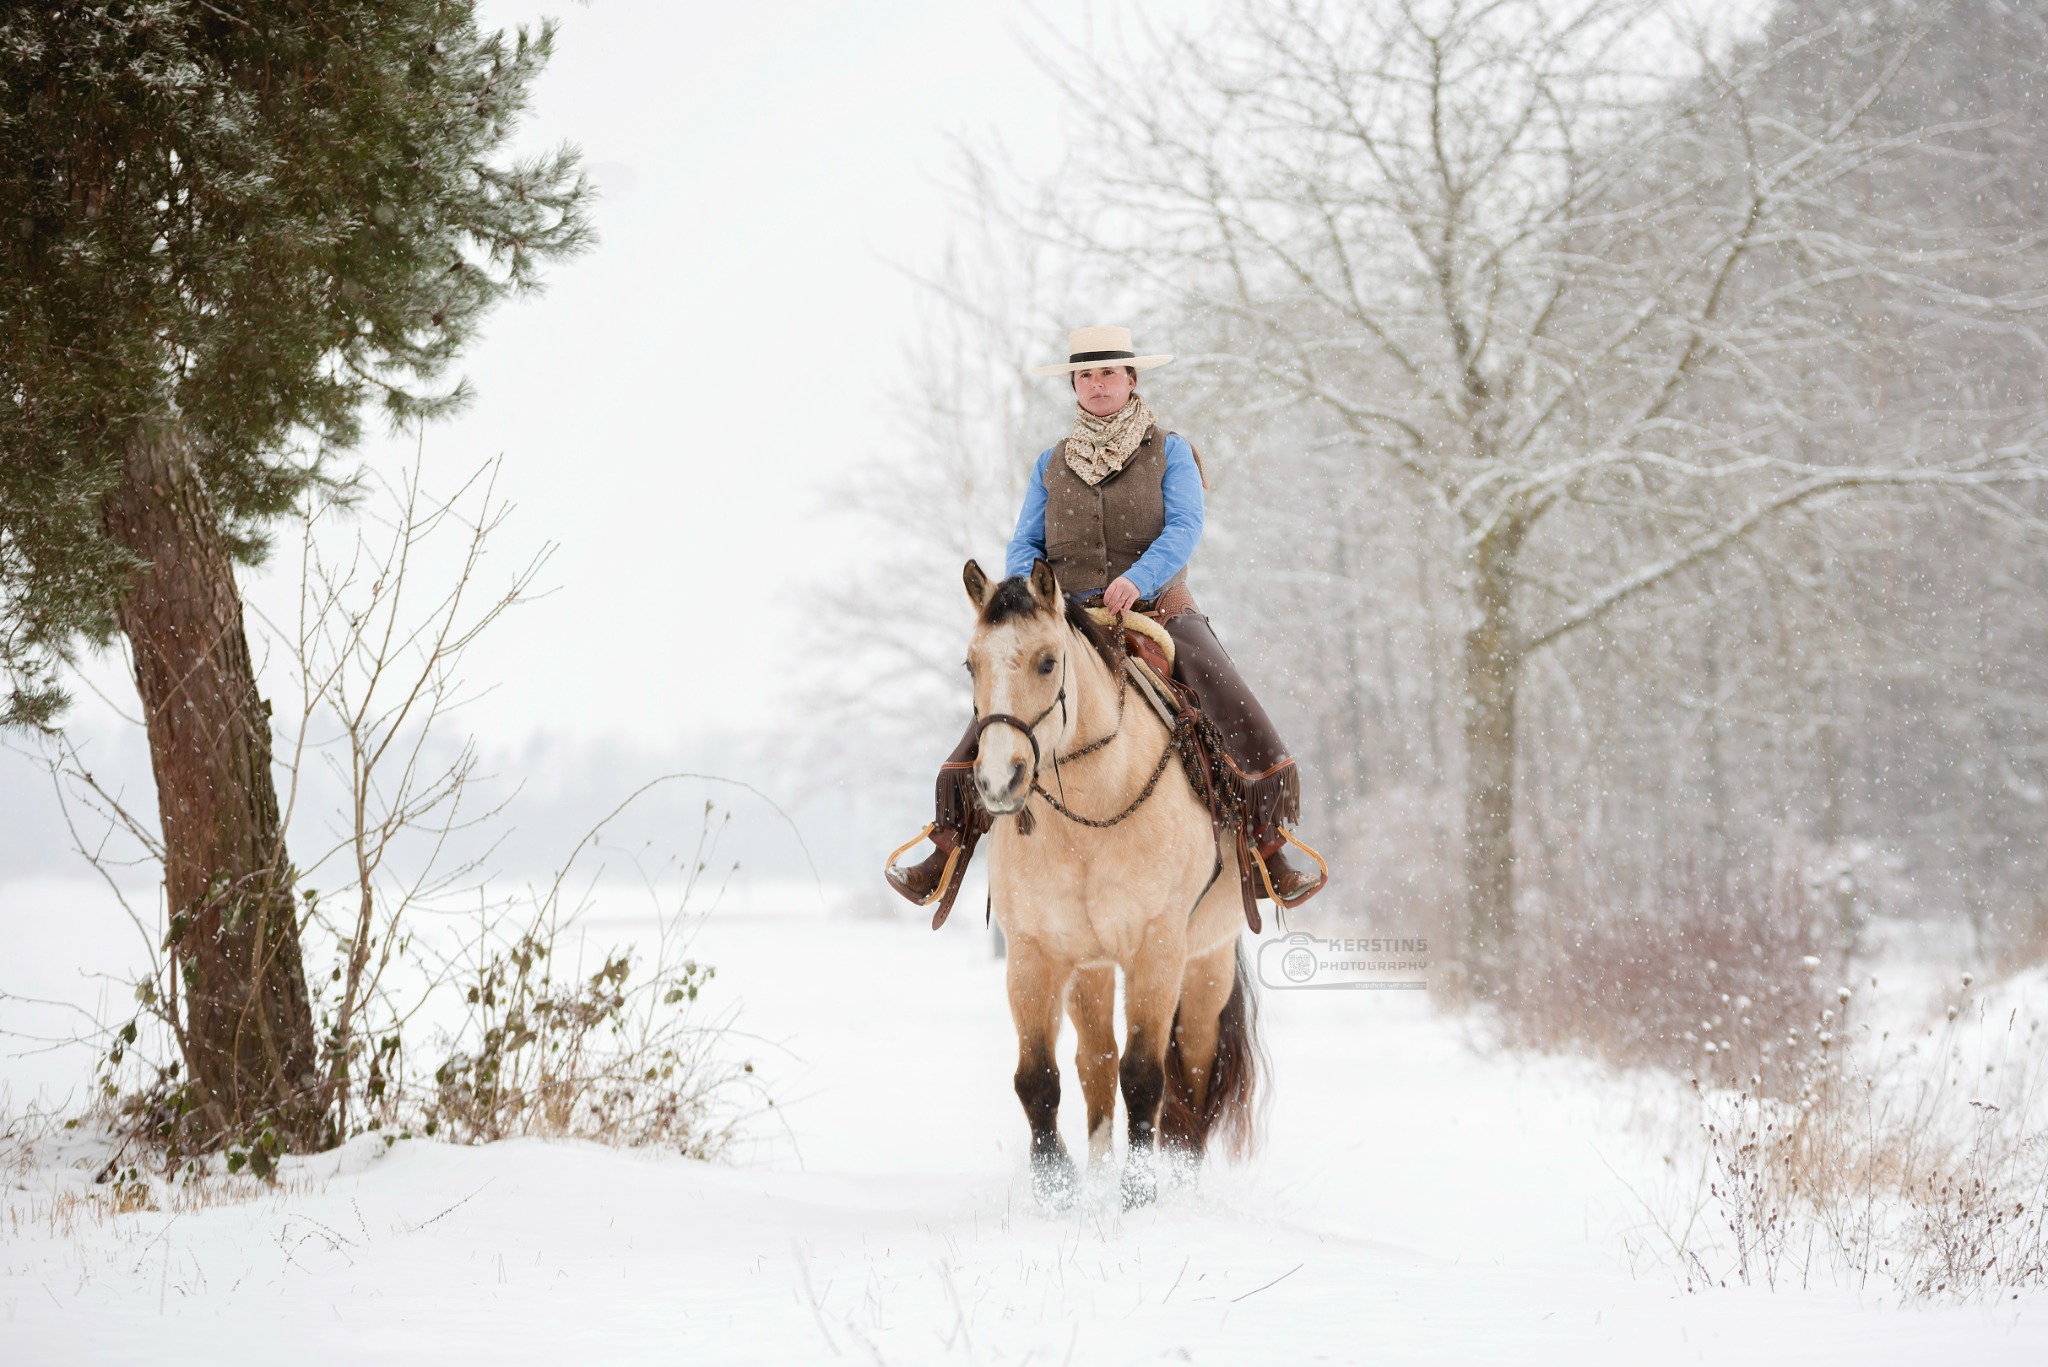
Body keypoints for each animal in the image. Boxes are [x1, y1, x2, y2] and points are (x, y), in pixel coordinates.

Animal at [961, 557, 1261, 1210]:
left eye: (1048, 661)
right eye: (970, 664)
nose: (998, 782)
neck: (1089, 815)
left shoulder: (1157, 949)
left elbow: (1145, 1074)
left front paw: (1140, 1194)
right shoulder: (1034, 953)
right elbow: (1038, 1078)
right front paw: (1056, 1189)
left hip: (1206, 964)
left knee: (1192, 1066)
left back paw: (1181, 1178)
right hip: (1092, 969)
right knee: (1093, 1063)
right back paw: (1099, 1174)